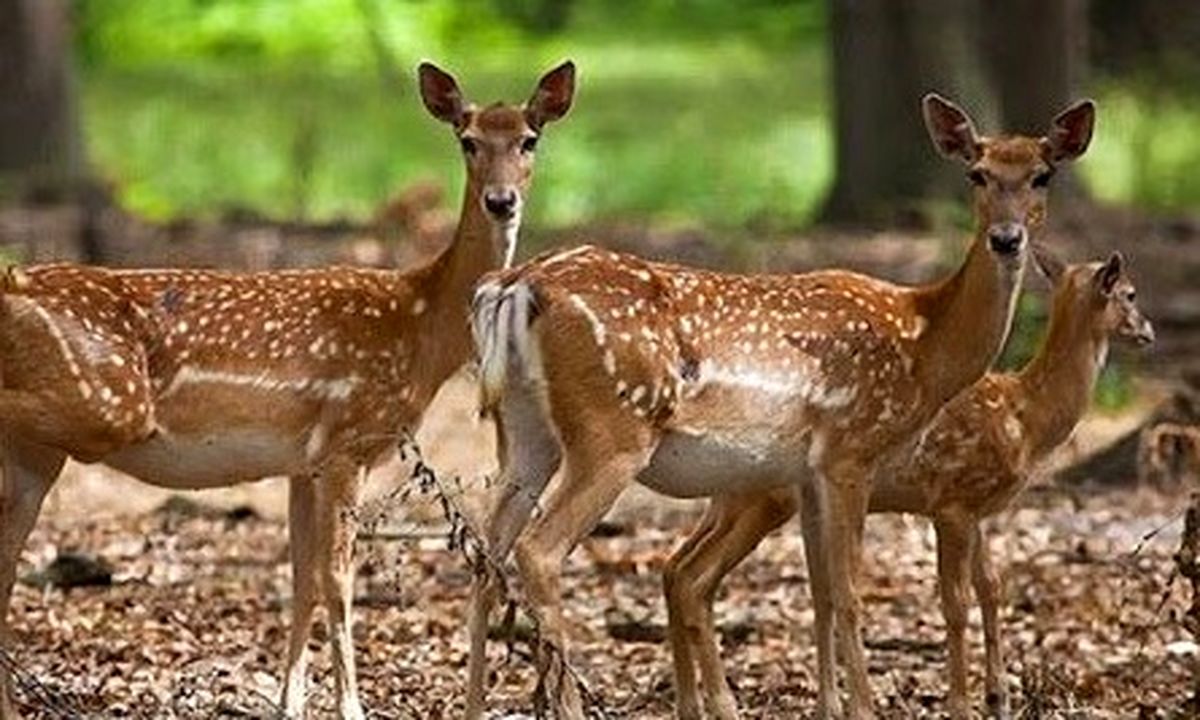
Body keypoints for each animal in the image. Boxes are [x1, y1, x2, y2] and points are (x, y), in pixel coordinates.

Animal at [0, 57, 576, 720]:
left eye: (529, 139)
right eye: (468, 140)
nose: (501, 200)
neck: (421, 327)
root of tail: (13, 282)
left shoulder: (303, 463)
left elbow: (301, 581)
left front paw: (288, 704)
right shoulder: (349, 441)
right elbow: (337, 580)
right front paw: (352, 708)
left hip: (39, 452)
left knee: (6, 560)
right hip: (103, 404)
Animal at [662, 248, 1147, 720]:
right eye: (1130, 293)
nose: (1149, 331)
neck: (1026, 418)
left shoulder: (975, 508)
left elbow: (992, 587)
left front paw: (999, 698)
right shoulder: (952, 500)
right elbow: (956, 602)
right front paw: (963, 702)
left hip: (738, 499)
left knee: (678, 567)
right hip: (763, 497)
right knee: (695, 576)